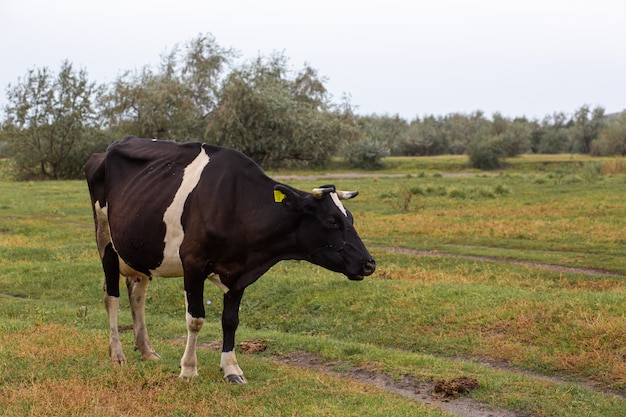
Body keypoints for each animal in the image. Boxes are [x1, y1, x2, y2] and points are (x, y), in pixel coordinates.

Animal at [84, 136, 372, 384]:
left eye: (350, 218)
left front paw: (232, 369)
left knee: (137, 294)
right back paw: (117, 354)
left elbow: (230, 320)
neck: (236, 203)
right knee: (111, 296)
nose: (369, 264)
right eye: (332, 221)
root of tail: (109, 148)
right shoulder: (193, 263)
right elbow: (195, 319)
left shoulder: (239, 273)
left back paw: (146, 350)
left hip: (141, 250)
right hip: (105, 240)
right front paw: (189, 369)